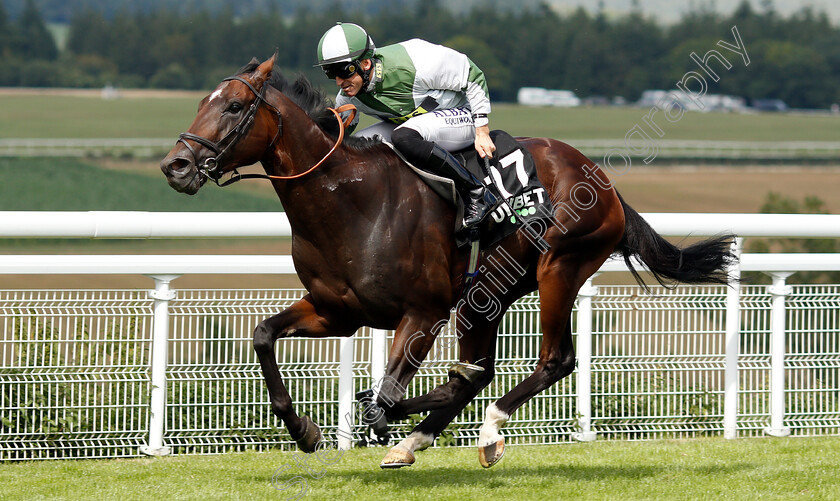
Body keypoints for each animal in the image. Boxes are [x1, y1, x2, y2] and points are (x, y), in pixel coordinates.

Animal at [159, 55, 736, 468]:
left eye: (235, 107)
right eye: (202, 102)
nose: (175, 165)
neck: (349, 200)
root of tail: (605, 181)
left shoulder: (424, 312)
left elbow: (388, 393)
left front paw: (378, 409)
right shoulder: (335, 312)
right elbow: (262, 335)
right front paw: (304, 431)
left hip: (558, 267)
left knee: (552, 361)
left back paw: (482, 427)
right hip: (487, 294)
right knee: (480, 371)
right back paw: (414, 440)